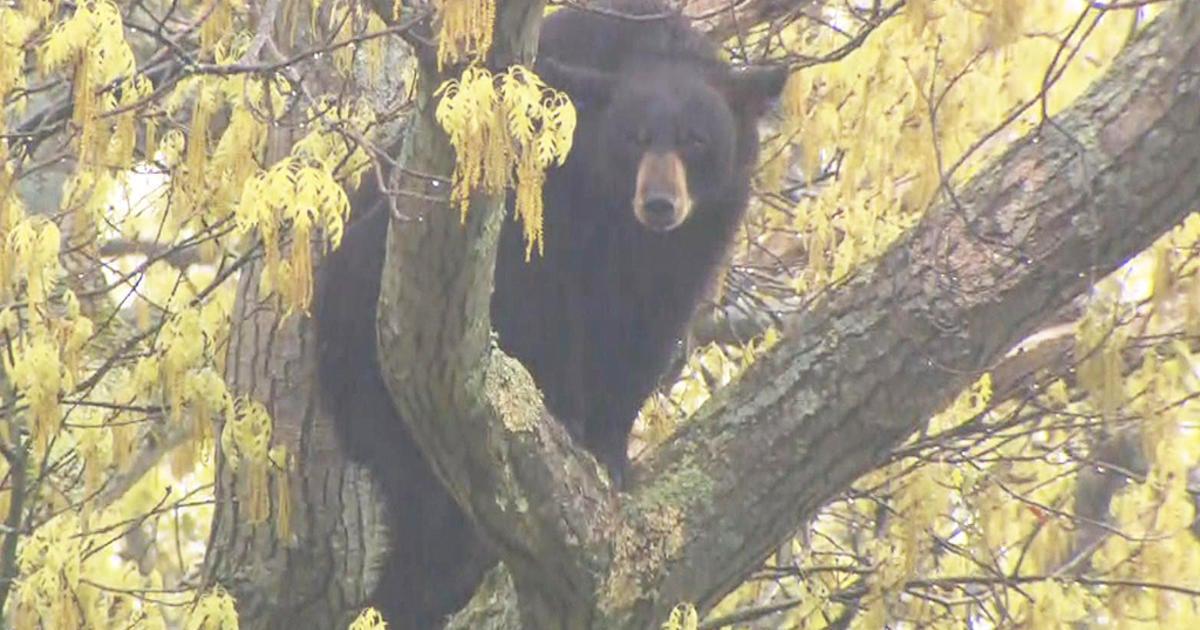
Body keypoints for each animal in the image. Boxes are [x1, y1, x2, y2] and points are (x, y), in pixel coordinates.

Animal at [309, 0, 787, 624]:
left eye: (696, 140)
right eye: (635, 138)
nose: (660, 203)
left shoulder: (695, 241)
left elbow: (646, 334)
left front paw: (612, 452)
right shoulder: (539, 190)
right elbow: (541, 297)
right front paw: (570, 417)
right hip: (366, 335)